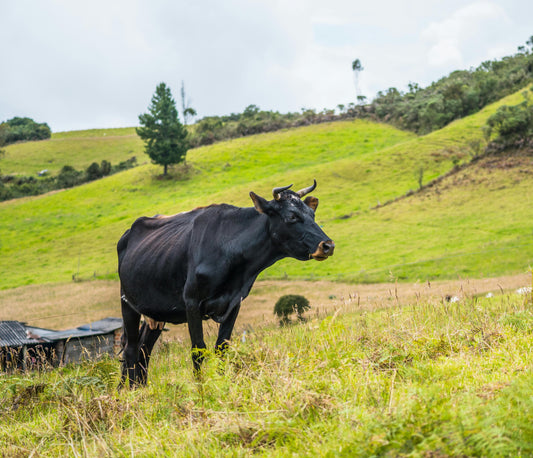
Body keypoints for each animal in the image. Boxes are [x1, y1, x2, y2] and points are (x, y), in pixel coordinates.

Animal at [117, 180, 332, 386]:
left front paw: (222, 383)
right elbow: (198, 349)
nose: (328, 245)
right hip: (127, 302)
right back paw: (129, 391)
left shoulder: (234, 302)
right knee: (131, 349)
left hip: (155, 313)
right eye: (292, 217)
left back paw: (140, 388)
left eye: (312, 214)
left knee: (144, 349)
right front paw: (201, 388)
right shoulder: (192, 301)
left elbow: (222, 346)